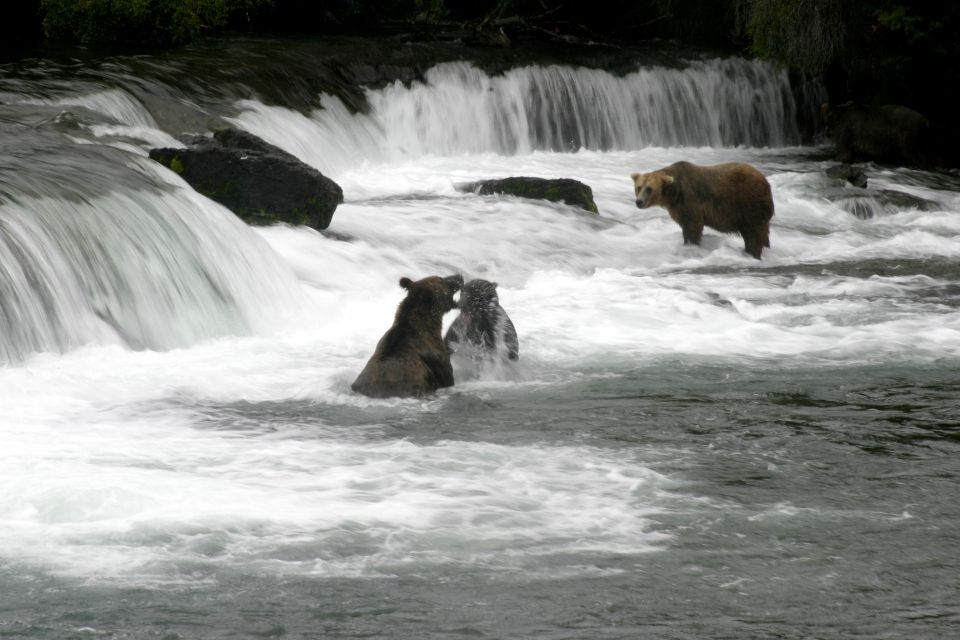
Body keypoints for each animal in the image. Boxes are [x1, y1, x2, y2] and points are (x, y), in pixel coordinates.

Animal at [630, 161, 774, 259]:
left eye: (649, 188)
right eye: (639, 187)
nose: (639, 202)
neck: (674, 194)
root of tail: (765, 181)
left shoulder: (690, 200)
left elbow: (692, 226)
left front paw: (691, 245)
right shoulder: (677, 207)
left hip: (749, 204)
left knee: (753, 233)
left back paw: (751, 253)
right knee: (763, 233)